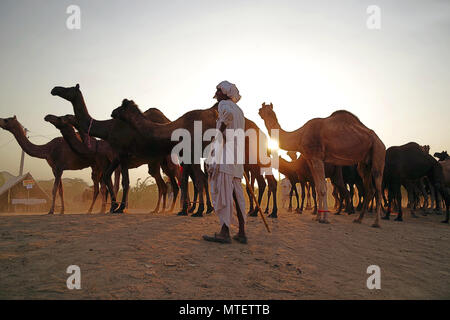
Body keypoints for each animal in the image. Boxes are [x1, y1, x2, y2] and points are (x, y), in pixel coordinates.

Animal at [50, 85, 179, 215]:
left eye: (69, 88)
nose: (55, 89)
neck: (107, 130)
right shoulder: (117, 157)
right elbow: (108, 177)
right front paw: (113, 206)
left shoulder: (122, 155)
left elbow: (124, 182)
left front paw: (119, 207)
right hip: (159, 161)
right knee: (167, 184)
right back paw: (163, 209)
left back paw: (170, 209)